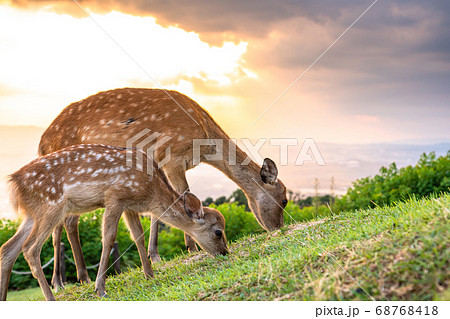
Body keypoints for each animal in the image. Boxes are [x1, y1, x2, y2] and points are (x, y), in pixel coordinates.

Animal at [0, 145, 229, 302]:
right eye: (218, 232)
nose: (225, 252)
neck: (151, 191)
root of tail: (14, 182)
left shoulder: (129, 205)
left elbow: (138, 235)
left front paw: (150, 275)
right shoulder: (115, 196)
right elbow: (109, 238)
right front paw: (100, 288)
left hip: (32, 215)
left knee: (8, 248)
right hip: (51, 206)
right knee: (29, 248)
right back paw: (51, 297)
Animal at [37, 87, 284, 290]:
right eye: (284, 200)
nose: (278, 228)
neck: (203, 143)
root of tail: (41, 143)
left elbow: (158, 212)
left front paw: (154, 255)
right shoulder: (172, 156)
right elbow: (183, 195)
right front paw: (191, 248)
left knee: (63, 224)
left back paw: (69, 279)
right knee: (65, 222)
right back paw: (72, 280)